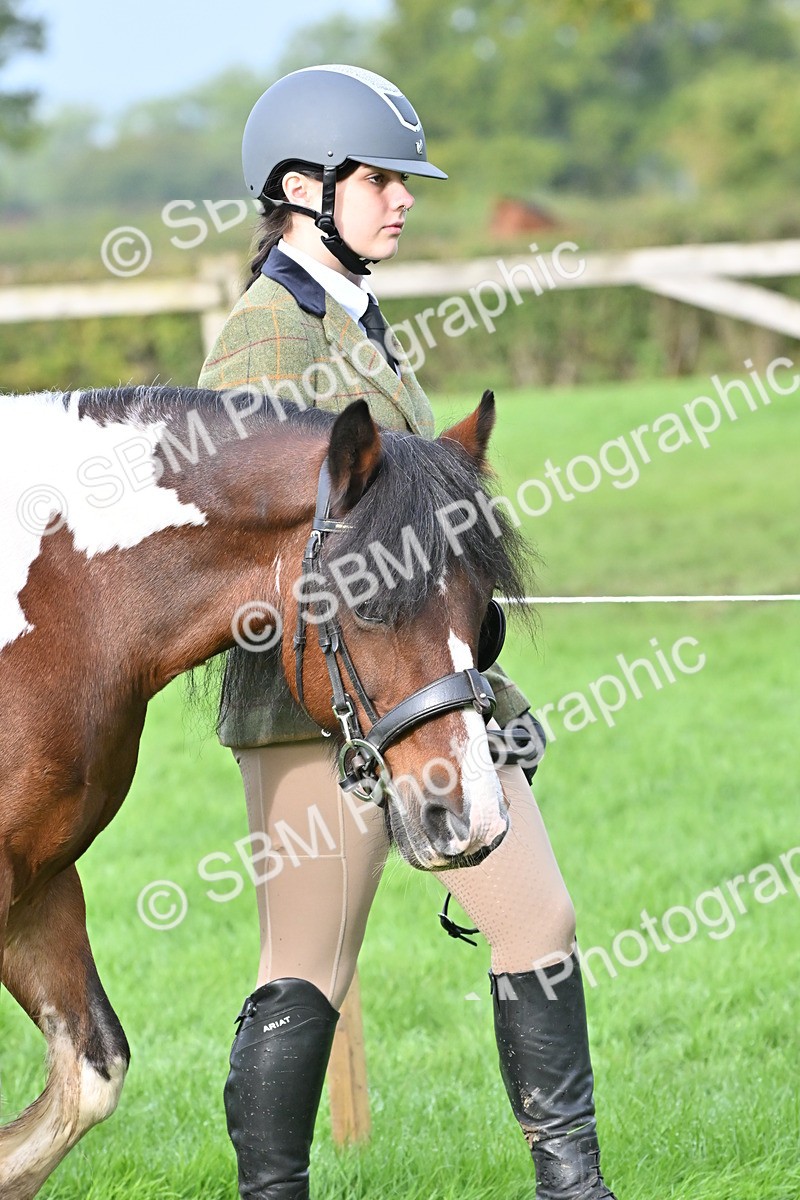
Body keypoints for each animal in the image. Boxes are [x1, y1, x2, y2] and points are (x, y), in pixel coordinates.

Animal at [0, 384, 527, 1198]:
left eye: (483, 614)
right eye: (367, 602)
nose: (471, 818)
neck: (60, 606)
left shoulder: (39, 878)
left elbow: (88, 1078)